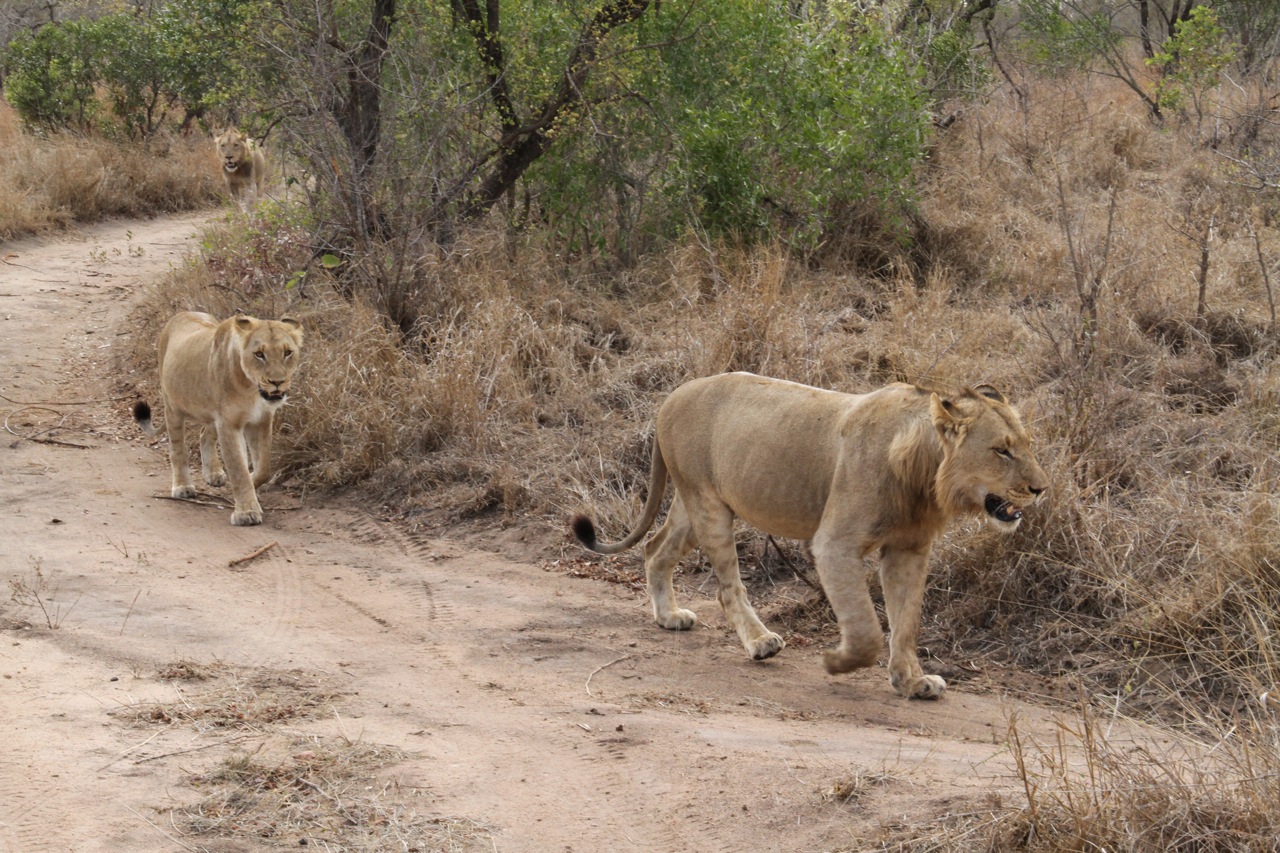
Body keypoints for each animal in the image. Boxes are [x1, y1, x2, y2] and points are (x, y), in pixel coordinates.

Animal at [134, 312, 302, 525]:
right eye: (259, 354)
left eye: (287, 352)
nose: (277, 382)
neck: (251, 389)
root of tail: (181, 314)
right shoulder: (229, 424)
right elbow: (238, 468)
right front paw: (246, 512)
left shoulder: (261, 420)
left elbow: (264, 468)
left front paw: (251, 482)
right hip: (172, 407)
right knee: (177, 450)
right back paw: (182, 487)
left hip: (212, 415)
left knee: (204, 434)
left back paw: (213, 473)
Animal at [573, 371, 1049, 696]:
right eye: (1001, 450)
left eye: (1027, 445)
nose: (1041, 489)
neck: (924, 473)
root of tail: (672, 396)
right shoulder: (835, 544)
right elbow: (867, 628)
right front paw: (837, 661)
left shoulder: (909, 549)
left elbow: (906, 621)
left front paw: (911, 682)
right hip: (707, 504)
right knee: (727, 587)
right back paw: (760, 642)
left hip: (695, 505)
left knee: (655, 548)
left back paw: (669, 616)